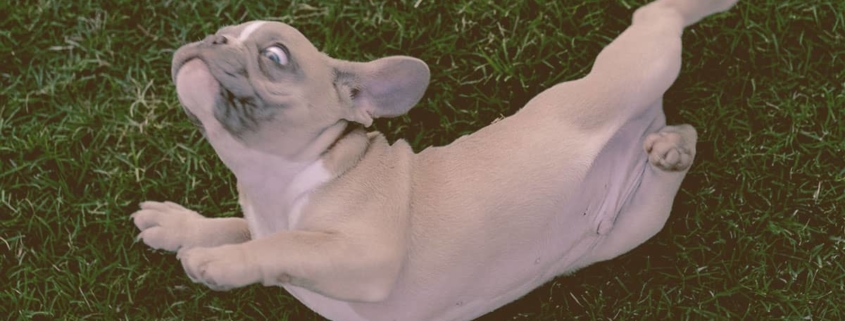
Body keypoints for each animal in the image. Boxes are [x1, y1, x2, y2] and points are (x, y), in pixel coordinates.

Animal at [132, 0, 740, 318]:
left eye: (275, 57)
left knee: (659, 15)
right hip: (637, 221)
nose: (210, 40)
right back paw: (671, 149)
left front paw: (222, 264)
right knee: (675, 155)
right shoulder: (270, 221)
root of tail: (649, 121)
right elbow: (238, 229)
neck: (276, 182)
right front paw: (180, 226)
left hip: (635, 71)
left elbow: (282, 245)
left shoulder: (366, 253)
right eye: (223, 33)